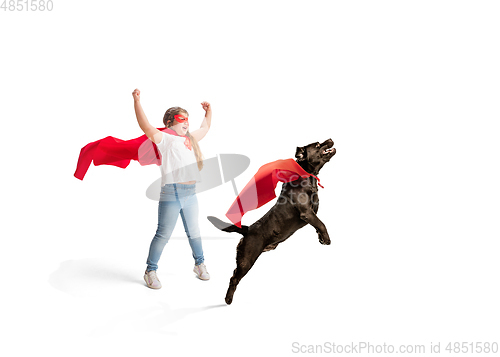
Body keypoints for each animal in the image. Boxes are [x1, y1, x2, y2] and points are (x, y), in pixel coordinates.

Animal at [207, 139, 336, 304]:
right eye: (318, 145)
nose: (330, 139)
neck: (308, 177)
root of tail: (247, 229)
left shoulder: (312, 213)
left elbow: (318, 225)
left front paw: (321, 238)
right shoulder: (307, 213)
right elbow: (321, 223)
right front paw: (327, 238)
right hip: (246, 260)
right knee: (234, 278)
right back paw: (228, 299)